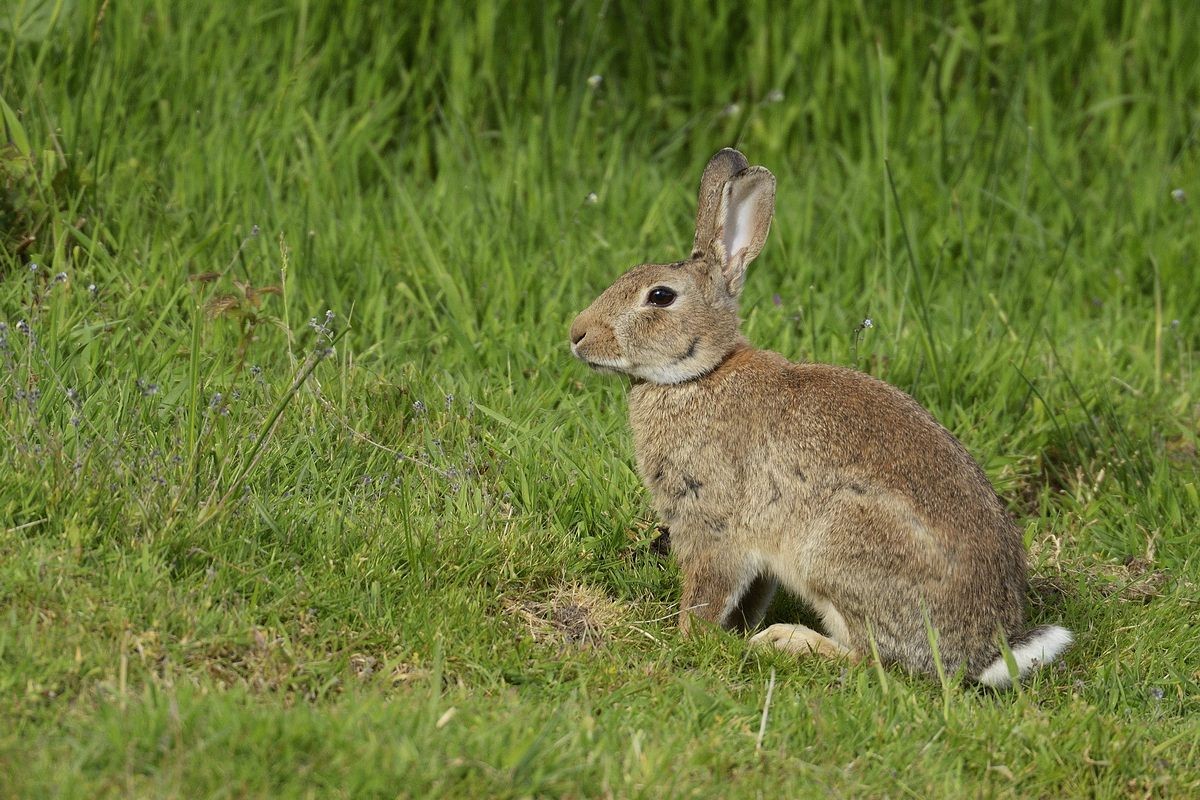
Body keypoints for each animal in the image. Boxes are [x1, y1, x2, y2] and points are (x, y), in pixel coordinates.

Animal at [566, 148, 1075, 690]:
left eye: (660, 297)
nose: (577, 334)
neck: (700, 374)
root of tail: (981, 653)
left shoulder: (712, 523)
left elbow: (706, 594)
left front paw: (686, 640)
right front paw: (729, 635)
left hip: (835, 551)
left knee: (870, 658)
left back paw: (785, 642)